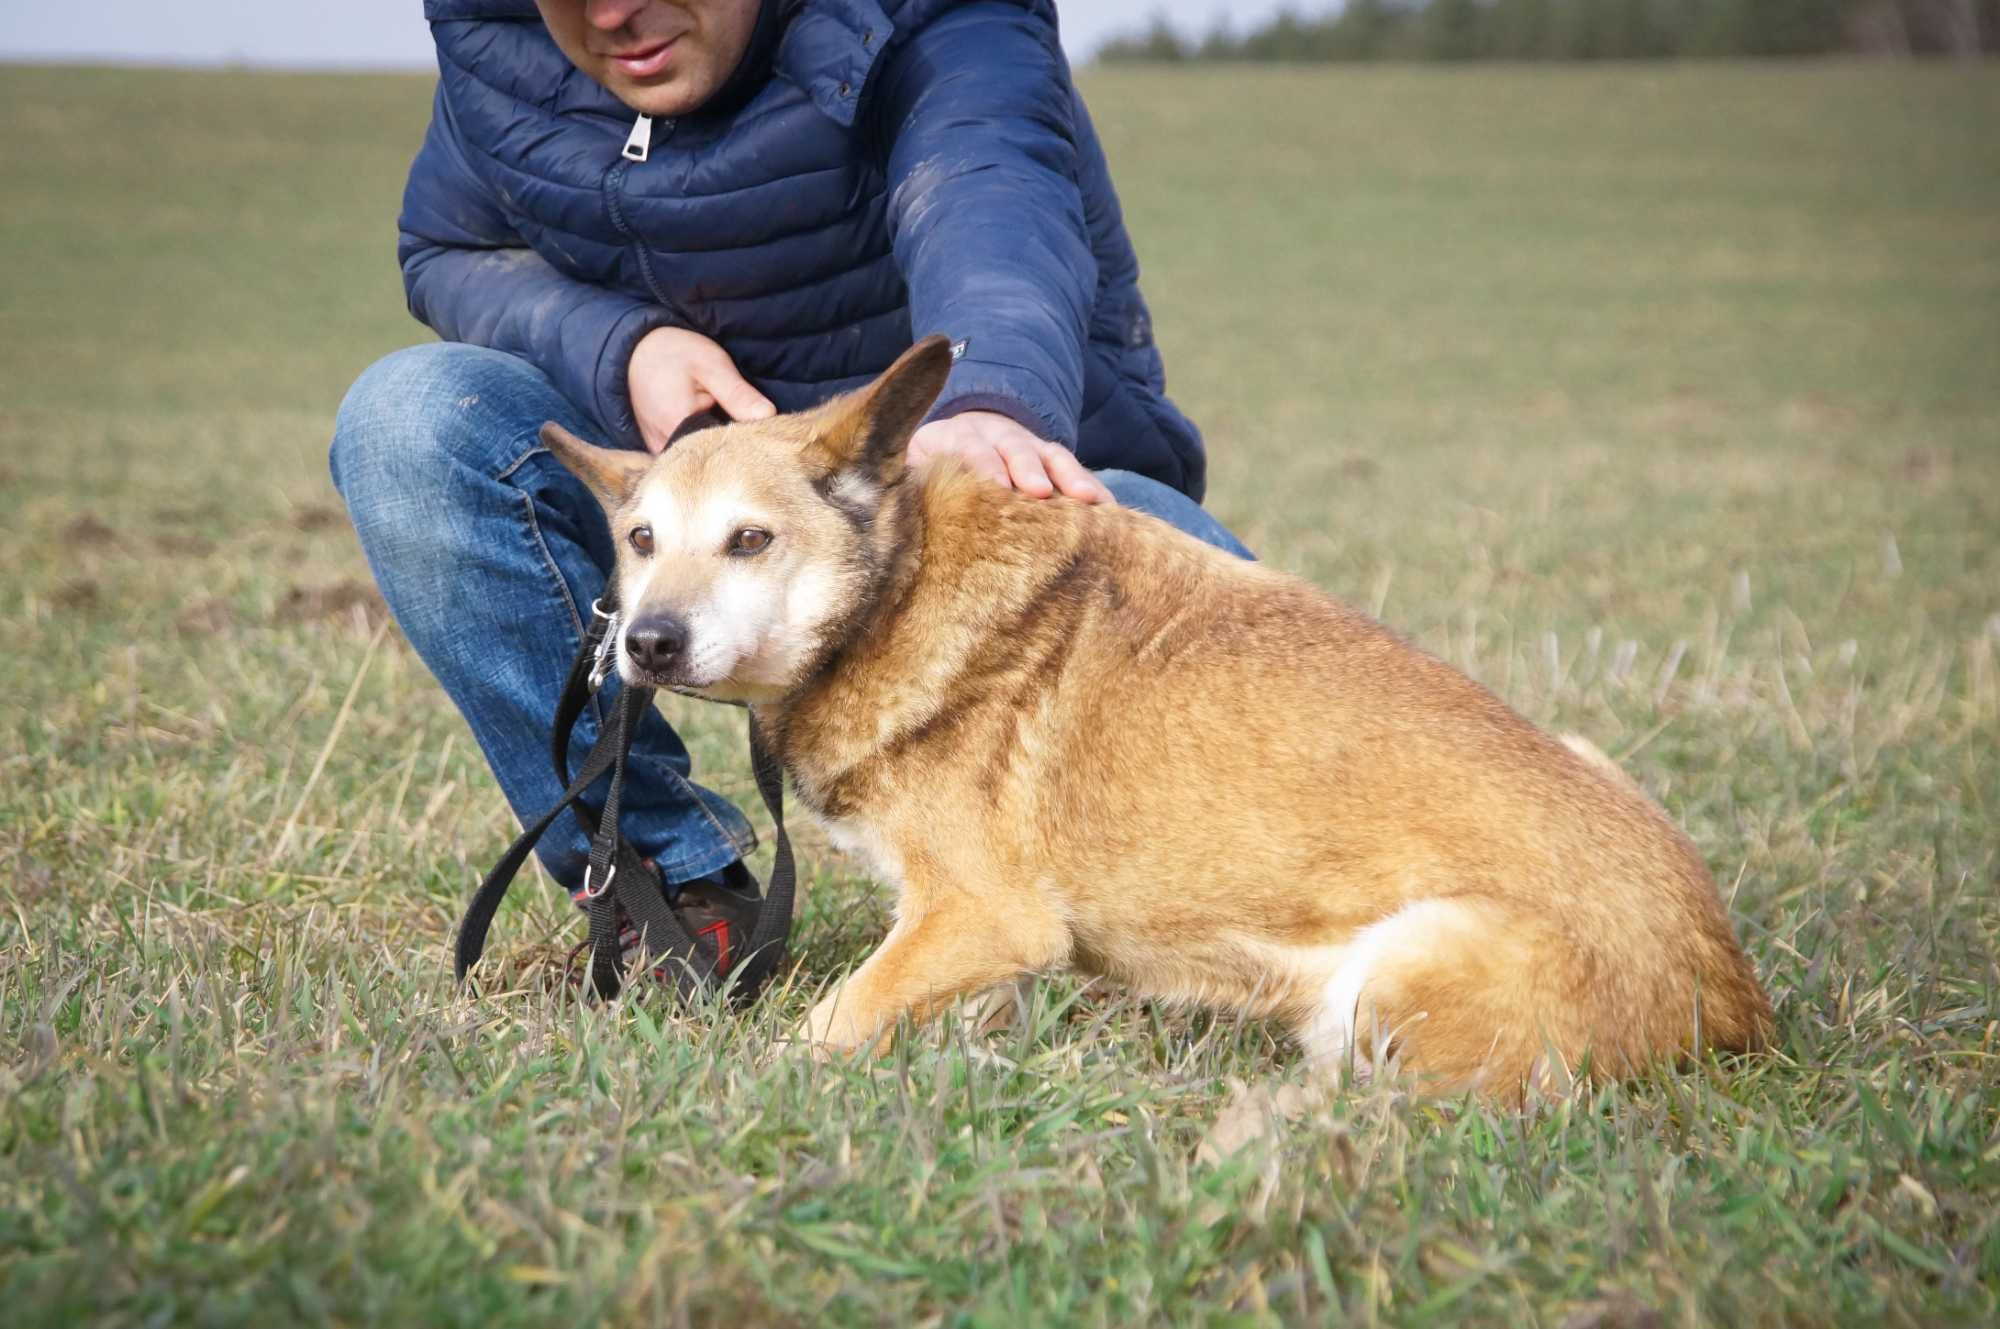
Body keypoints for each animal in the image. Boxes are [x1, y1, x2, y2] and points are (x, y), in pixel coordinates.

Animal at [544, 338, 1768, 1096]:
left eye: (750, 540)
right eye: (641, 540)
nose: (644, 643)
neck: (895, 592)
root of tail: (1732, 996)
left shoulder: (982, 916)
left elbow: (823, 1025)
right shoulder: (964, 942)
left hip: (1393, 966)